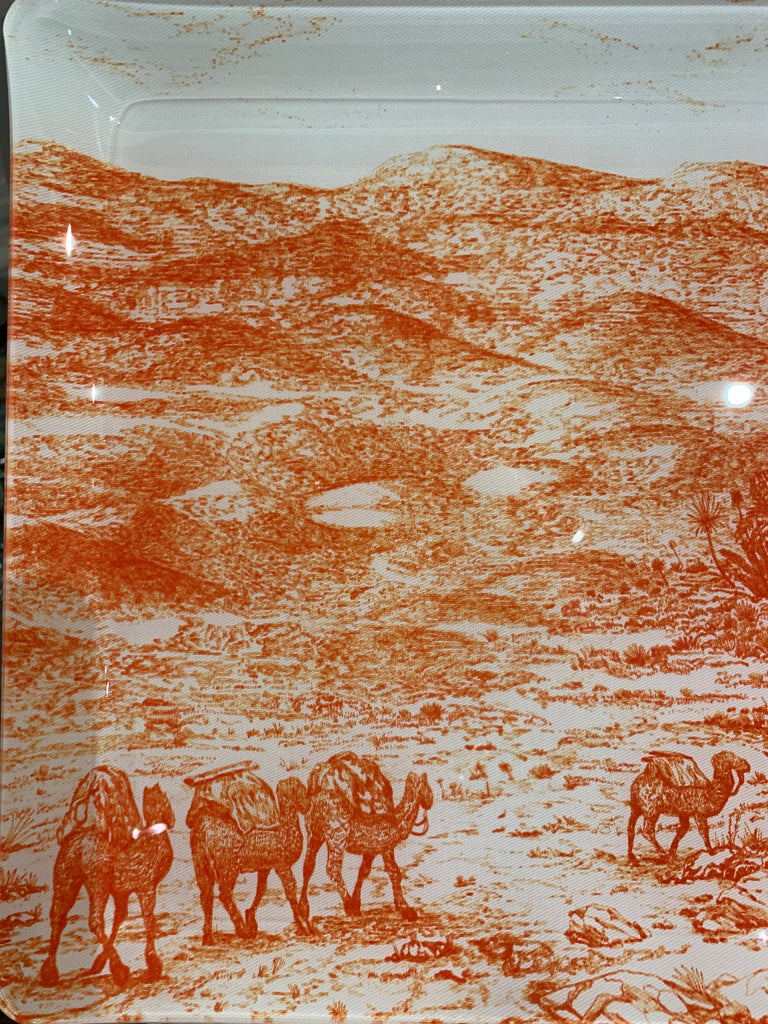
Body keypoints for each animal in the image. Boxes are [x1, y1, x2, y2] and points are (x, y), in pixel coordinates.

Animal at [40, 768, 174, 987]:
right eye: (161, 801)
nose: (171, 819)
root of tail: (73, 837)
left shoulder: (122, 892)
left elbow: (121, 917)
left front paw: (100, 963)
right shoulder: (146, 887)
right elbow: (149, 920)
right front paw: (153, 964)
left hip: (75, 883)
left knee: (64, 918)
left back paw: (51, 971)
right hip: (89, 885)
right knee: (86, 920)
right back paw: (118, 971)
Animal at [186, 771, 310, 944]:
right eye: (299, 789)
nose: (307, 806)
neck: (283, 831)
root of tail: (203, 827)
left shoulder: (265, 867)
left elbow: (261, 889)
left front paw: (251, 918)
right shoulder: (282, 866)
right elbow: (290, 891)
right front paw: (305, 926)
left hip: (201, 863)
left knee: (206, 895)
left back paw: (208, 937)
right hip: (228, 868)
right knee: (224, 894)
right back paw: (241, 929)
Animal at [299, 751, 433, 922]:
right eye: (427, 787)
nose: (430, 801)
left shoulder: (371, 847)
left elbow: (364, 870)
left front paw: (358, 902)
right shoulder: (384, 844)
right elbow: (394, 871)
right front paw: (406, 909)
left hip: (315, 831)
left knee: (308, 865)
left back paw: (303, 910)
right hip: (336, 835)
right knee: (332, 868)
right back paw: (349, 905)